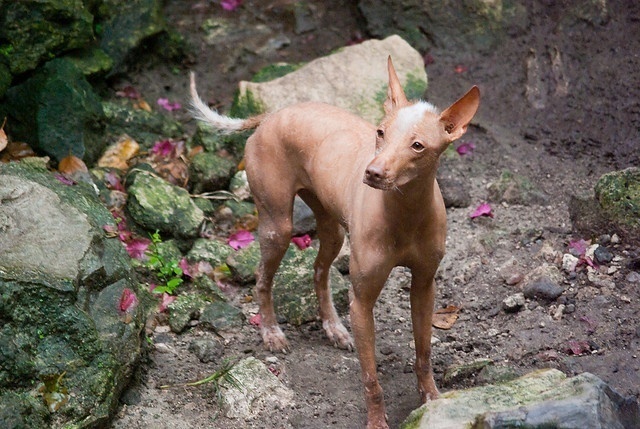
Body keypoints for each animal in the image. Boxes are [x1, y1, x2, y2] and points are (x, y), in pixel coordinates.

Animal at [190, 57, 480, 428]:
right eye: (380, 132)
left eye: (417, 146)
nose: (372, 173)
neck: (405, 213)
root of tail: (271, 115)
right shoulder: (361, 304)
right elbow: (371, 377)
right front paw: (376, 421)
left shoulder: (424, 288)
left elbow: (424, 352)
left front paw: (432, 400)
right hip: (278, 227)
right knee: (262, 279)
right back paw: (271, 332)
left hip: (333, 230)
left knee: (318, 271)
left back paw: (333, 327)